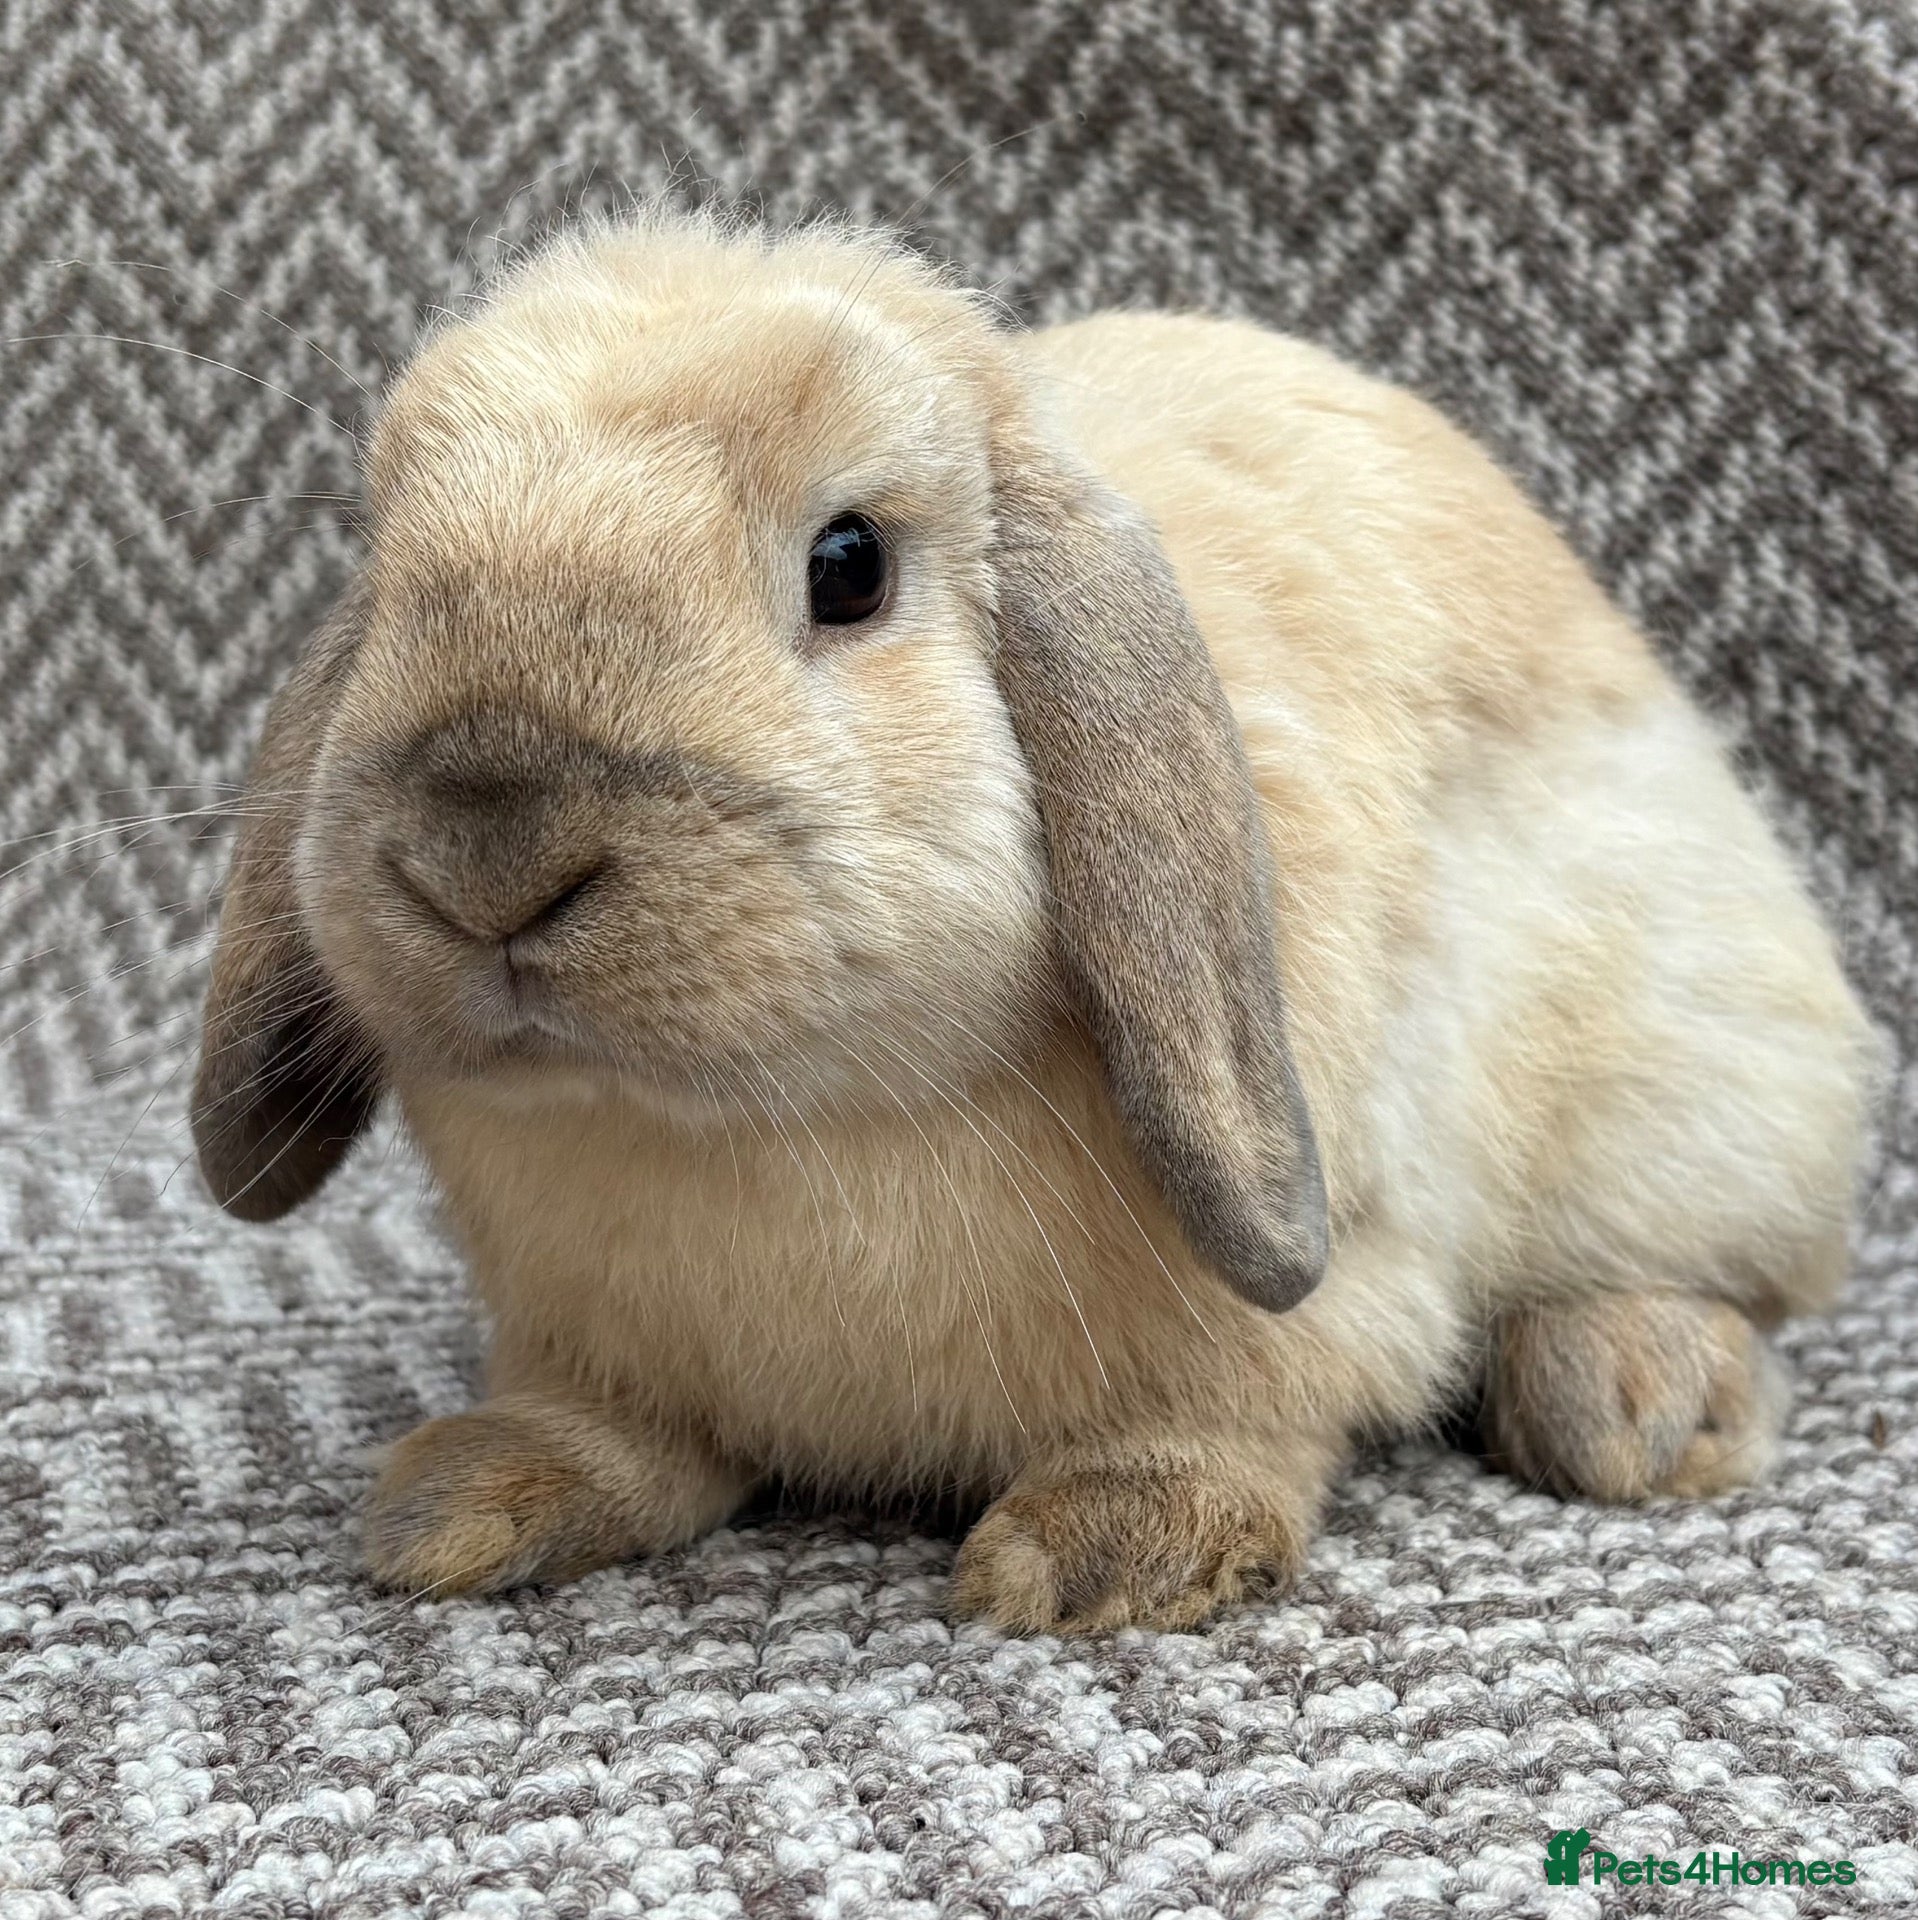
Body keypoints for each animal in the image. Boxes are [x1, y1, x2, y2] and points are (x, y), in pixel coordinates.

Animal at [192, 209, 1878, 1632]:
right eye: (390, 556)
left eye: (849, 566)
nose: (485, 848)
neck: (761, 1125)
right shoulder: (590, 1331)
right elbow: (616, 1430)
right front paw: (467, 1500)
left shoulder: (1287, 1295)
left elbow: (1240, 1405)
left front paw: (1106, 1556)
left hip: (1703, 1092)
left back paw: (1640, 1404)